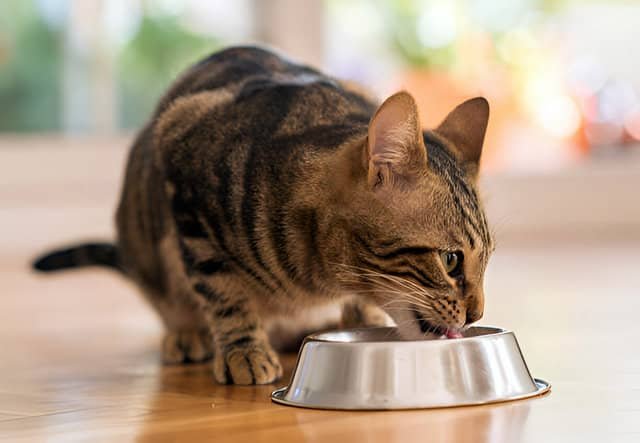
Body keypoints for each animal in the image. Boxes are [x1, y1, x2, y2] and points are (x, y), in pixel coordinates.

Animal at [33, 45, 496, 386]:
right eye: (451, 260)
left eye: (486, 260)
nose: (477, 314)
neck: (319, 277)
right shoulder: (184, 179)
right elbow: (222, 291)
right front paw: (243, 350)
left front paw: (362, 316)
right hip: (145, 239)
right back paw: (188, 333)